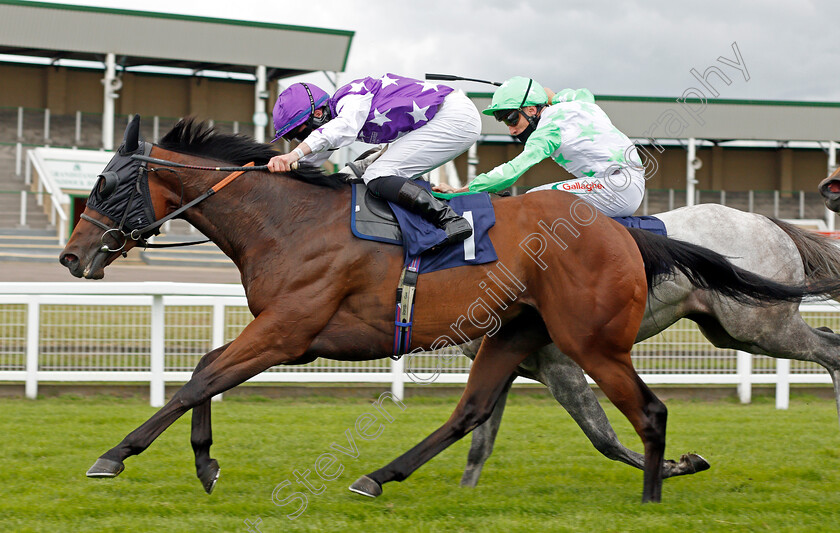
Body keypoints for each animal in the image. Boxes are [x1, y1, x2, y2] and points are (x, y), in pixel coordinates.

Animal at [456, 204, 840, 486]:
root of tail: (766, 221)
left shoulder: (559, 366)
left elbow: (603, 437)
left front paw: (677, 465)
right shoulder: (506, 364)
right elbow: (479, 442)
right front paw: (466, 495)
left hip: (761, 327)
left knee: (831, 350)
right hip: (732, 332)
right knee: (829, 339)